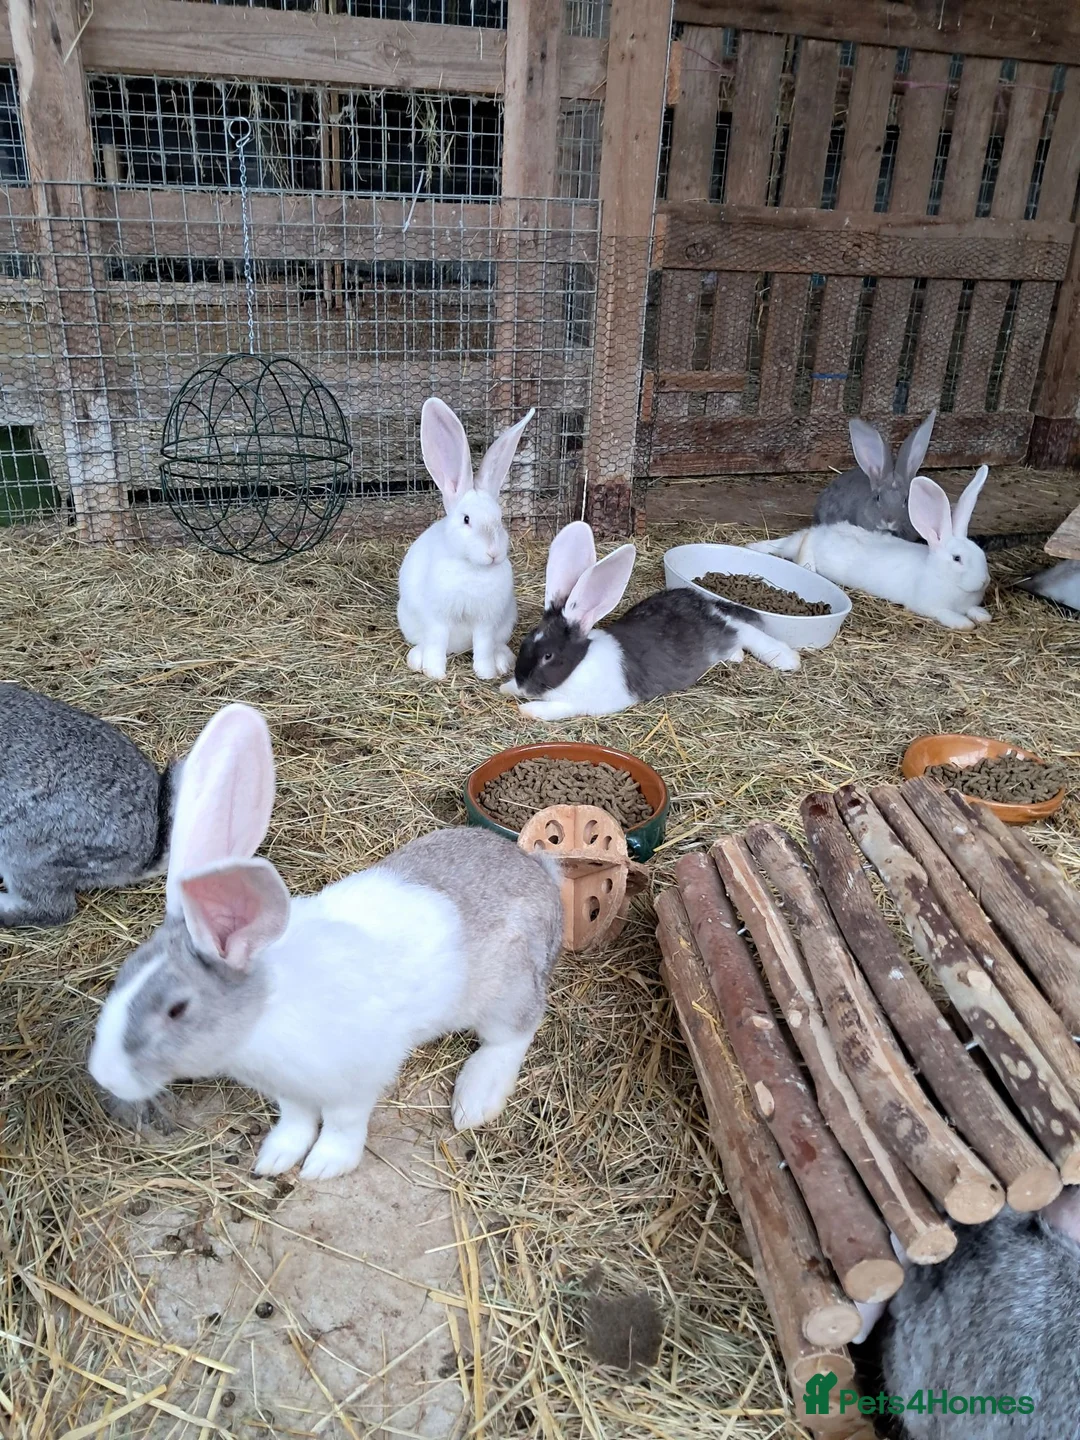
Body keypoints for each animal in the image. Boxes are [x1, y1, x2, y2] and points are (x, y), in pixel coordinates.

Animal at [88, 702, 563, 1182]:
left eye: (177, 1009)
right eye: (121, 978)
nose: (105, 1076)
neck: (265, 1013)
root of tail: (541, 876)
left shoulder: (353, 1082)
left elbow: (341, 1124)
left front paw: (324, 1166)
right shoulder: (289, 1092)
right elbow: (296, 1120)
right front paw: (276, 1158)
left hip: (507, 993)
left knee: (513, 1035)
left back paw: (474, 1101)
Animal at [397, 396, 535, 682]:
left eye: (500, 519)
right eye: (466, 519)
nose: (493, 553)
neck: (472, 569)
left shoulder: (486, 622)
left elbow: (482, 647)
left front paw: (486, 673)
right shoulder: (438, 618)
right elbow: (436, 643)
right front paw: (434, 672)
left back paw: (502, 661)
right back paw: (417, 660)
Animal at [498, 521, 800, 722]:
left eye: (548, 656)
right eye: (525, 642)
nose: (524, 685)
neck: (578, 666)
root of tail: (704, 603)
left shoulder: (586, 702)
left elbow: (555, 708)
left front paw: (527, 709)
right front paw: (507, 688)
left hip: (723, 631)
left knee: (744, 630)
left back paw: (787, 659)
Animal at [750, 468, 990, 630]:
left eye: (981, 554)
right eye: (957, 558)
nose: (984, 581)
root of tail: (816, 532)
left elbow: (974, 611)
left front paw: (983, 615)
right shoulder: (930, 606)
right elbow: (948, 615)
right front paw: (965, 624)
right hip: (809, 549)